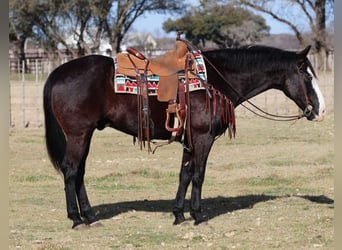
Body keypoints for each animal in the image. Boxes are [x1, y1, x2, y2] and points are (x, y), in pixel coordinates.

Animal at [43, 43, 326, 229]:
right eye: (306, 74)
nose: (321, 110)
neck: (216, 80)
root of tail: (58, 73)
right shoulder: (203, 137)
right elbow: (199, 175)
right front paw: (198, 216)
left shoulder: (189, 140)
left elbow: (185, 174)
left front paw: (179, 215)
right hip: (78, 135)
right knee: (71, 171)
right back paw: (77, 219)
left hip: (85, 135)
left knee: (79, 172)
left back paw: (90, 217)